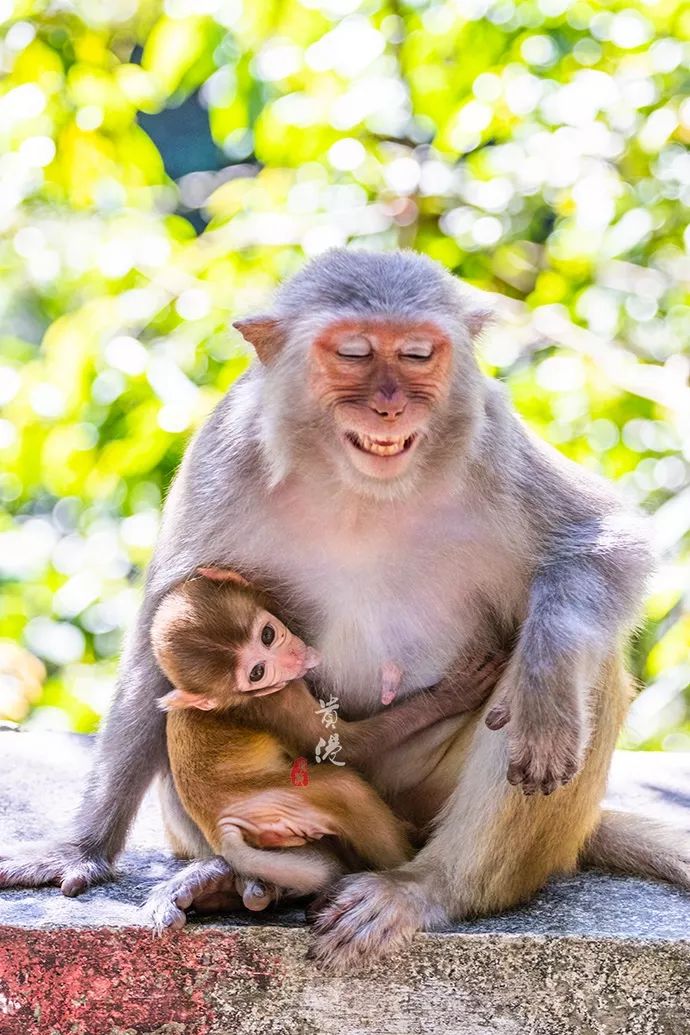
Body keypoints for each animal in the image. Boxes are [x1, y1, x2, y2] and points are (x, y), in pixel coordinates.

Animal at [152, 571, 506, 902]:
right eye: (257, 673)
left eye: (267, 635)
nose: (293, 659)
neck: (236, 699)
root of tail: (219, 829)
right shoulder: (278, 698)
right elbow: (348, 748)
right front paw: (448, 698)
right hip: (280, 800)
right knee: (346, 789)